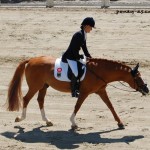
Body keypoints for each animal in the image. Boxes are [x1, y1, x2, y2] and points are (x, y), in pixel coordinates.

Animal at [6, 55, 149, 129]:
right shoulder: (84, 92)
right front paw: (73, 123)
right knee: (26, 99)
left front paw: (120, 123)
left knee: (40, 100)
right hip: (35, 86)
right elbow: (78, 106)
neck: (99, 71)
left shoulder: (101, 91)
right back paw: (20, 118)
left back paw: (47, 121)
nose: (147, 90)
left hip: (44, 86)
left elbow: (110, 106)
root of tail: (31, 60)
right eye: (138, 78)